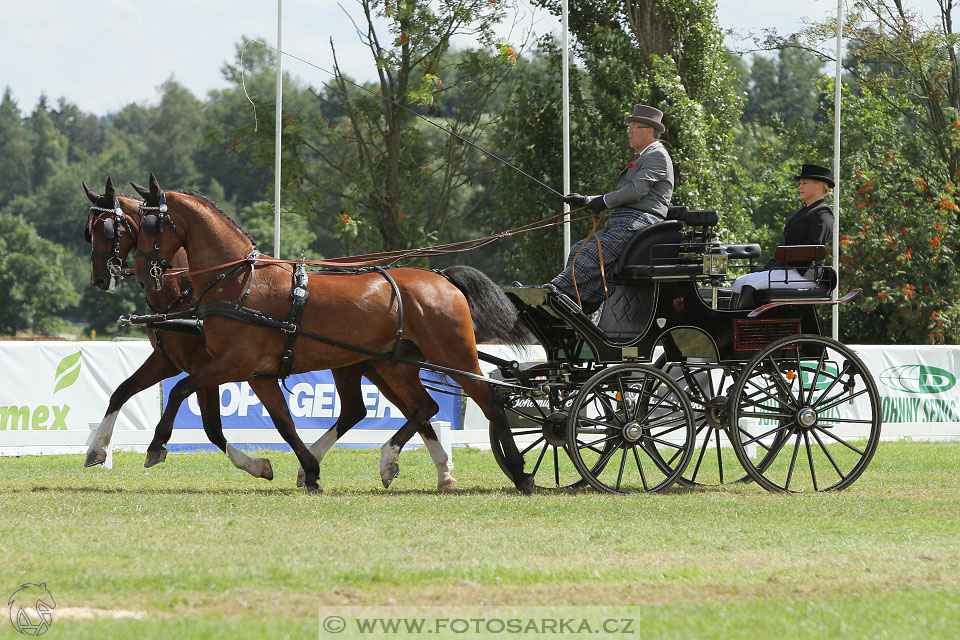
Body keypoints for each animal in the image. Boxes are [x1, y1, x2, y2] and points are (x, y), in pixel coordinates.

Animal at [131, 172, 536, 492]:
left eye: (149, 225)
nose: (141, 276)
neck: (240, 281)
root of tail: (442, 278)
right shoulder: (256, 372)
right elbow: (283, 424)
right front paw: (308, 471)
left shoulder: (234, 363)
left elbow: (181, 390)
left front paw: (156, 446)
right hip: (392, 364)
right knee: (420, 407)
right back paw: (393, 462)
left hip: (455, 355)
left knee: (489, 402)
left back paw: (520, 473)